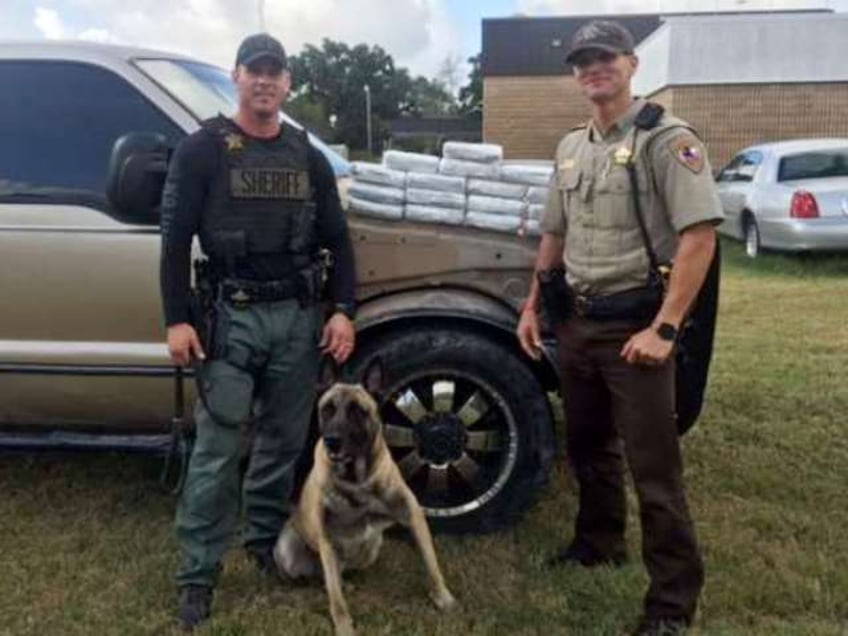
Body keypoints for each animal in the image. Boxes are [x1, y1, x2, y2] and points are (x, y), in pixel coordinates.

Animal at [274, 360, 458, 632]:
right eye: (327, 410)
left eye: (356, 411)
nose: (332, 441)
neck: (356, 480)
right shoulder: (327, 540)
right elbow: (336, 597)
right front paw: (343, 627)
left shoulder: (413, 515)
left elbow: (431, 563)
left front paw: (443, 598)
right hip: (289, 551)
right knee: (325, 578)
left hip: (371, 549)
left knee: (341, 572)